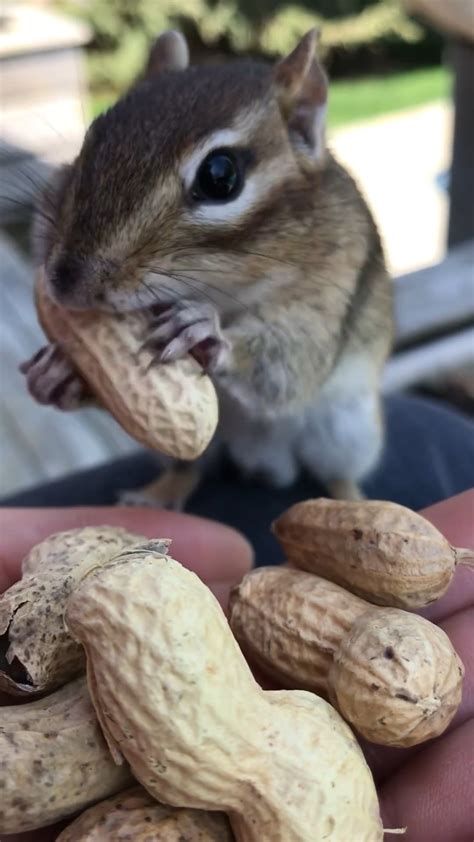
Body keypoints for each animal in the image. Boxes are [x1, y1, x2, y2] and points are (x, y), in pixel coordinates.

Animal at [21, 29, 394, 507]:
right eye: (90, 143)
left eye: (221, 175)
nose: (65, 283)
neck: (224, 288)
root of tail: (263, 458)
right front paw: (58, 375)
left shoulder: (331, 290)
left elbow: (293, 364)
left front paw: (205, 331)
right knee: (189, 467)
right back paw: (156, 495)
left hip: (348, 434)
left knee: (337, 474)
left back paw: (353, 502)